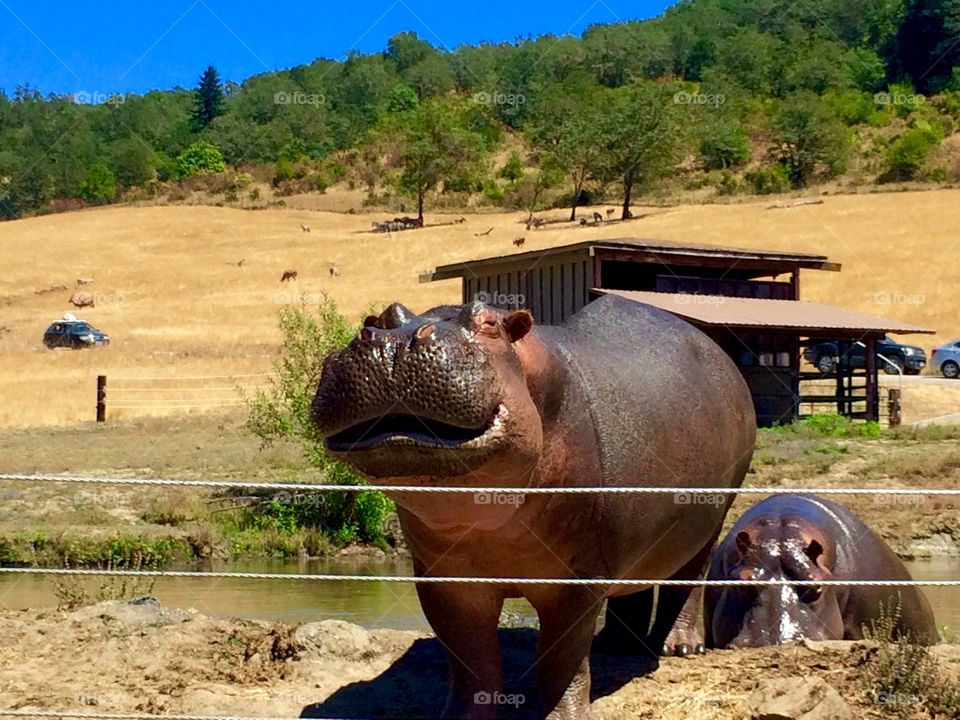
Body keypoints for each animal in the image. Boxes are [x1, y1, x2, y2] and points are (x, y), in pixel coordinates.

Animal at [314, 296, 756, 716]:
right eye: (382, 319)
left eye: (490, 323)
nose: (394, 341)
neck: (486, 520)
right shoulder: (444, 582)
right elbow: (470, 659)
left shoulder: (577, 579)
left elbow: (561, 658)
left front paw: (565, 714)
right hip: (635, 539)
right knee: (633, 590)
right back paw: (614, 645)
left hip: (709, 521)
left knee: (689, 581)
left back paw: (680, 647)